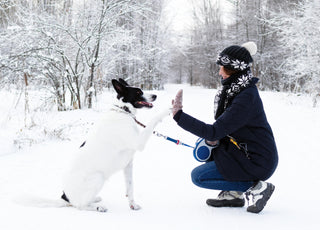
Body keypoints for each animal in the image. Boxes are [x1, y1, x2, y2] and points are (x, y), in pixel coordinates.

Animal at [60, 78, 170, 212]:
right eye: (138, 92)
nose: (155, 95)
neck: (123, 111)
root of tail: (65, 197)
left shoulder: (128, 164)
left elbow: (130, 187)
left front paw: (132, 205)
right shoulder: (139, 143)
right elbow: (153, 120)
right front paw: (168, 110)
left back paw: (95, 199)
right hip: (98, 177)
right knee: (81, 206)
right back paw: (98, 207)